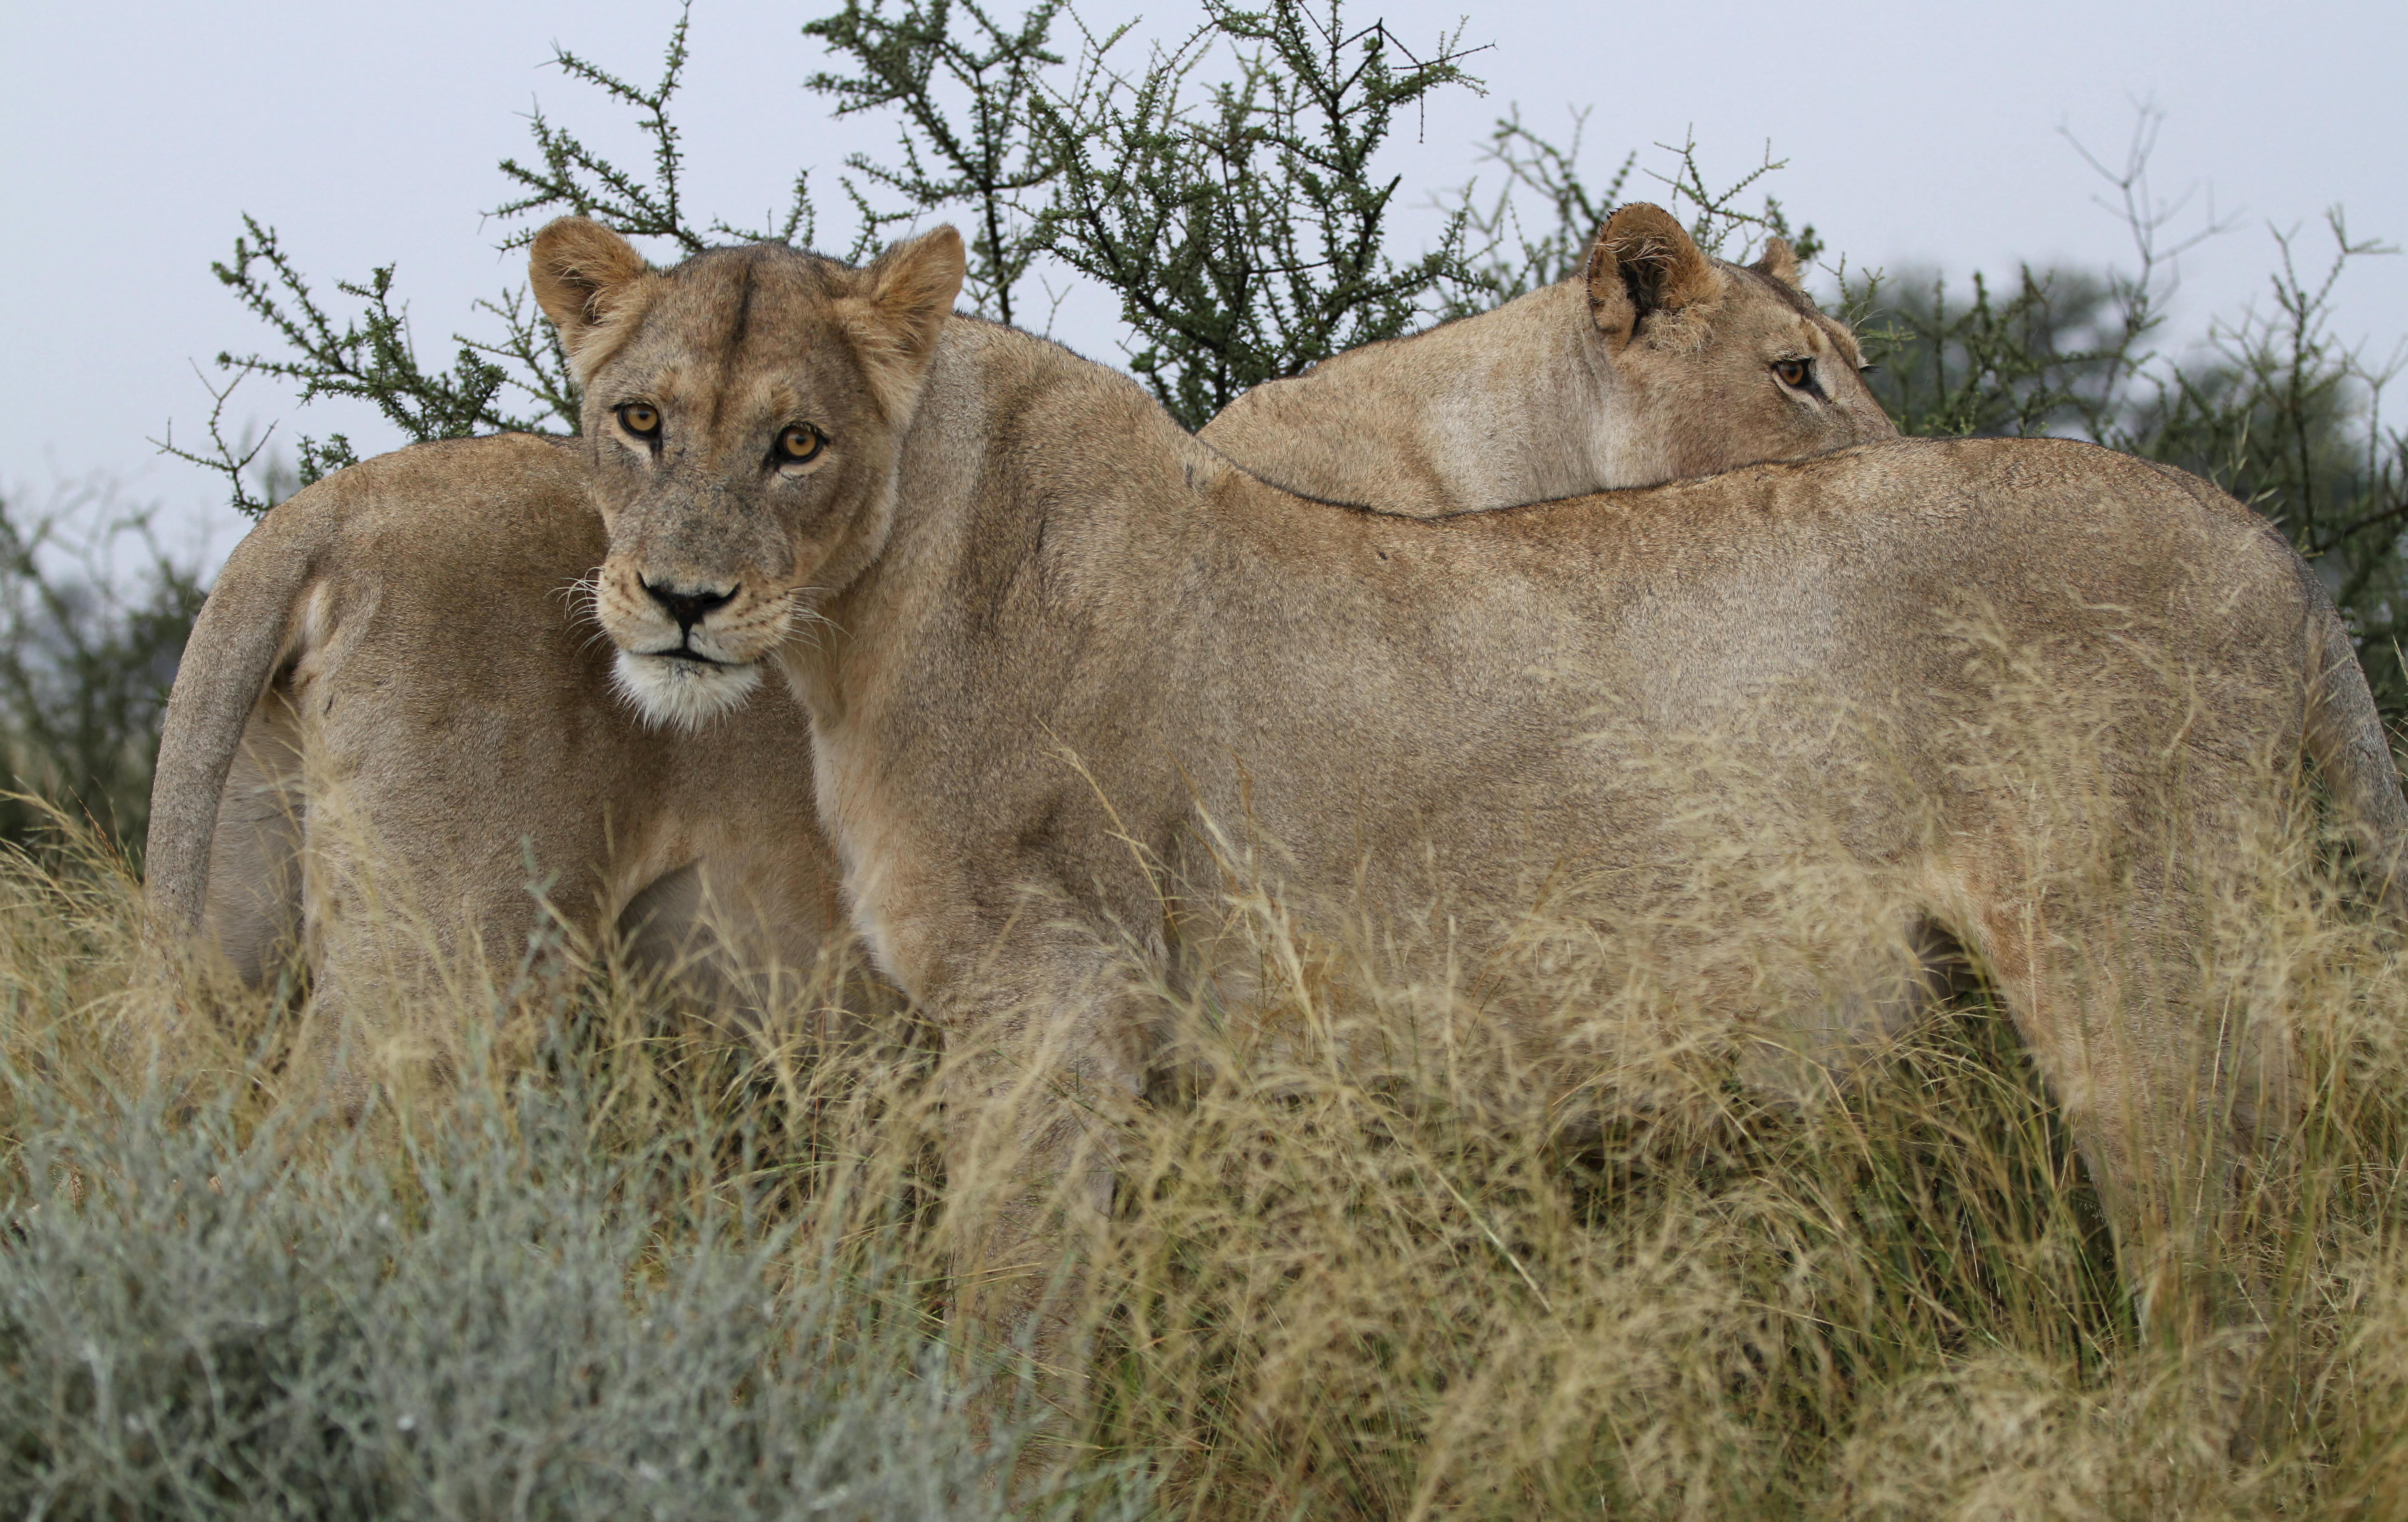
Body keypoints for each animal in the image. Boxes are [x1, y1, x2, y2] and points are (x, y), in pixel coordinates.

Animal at [144, 206, 1893, 1081]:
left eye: (1849, 356)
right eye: (1795, 372)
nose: (1903, 450)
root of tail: (334, 502)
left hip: (247, 920)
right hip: (440, 953)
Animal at [532, 216, 2406, 1429]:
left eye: (798, 441)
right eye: (637, 422)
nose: (679, 601)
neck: (874, 604)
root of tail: (2265, 542)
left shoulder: (1058, 997)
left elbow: (1015, 1302)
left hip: (2135, 959)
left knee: (2228, 1272)